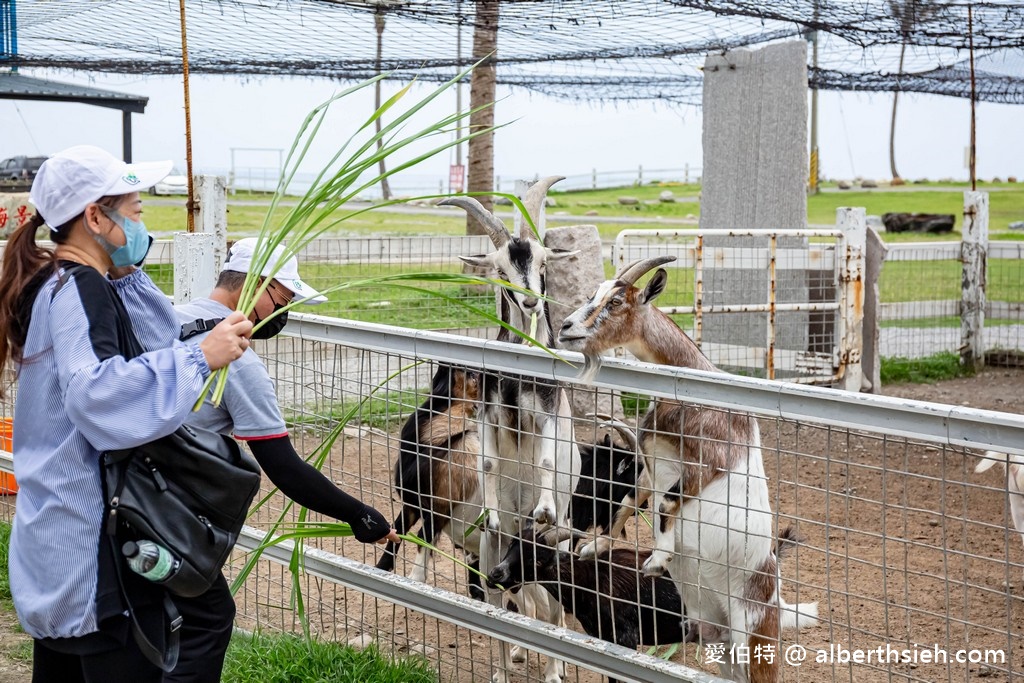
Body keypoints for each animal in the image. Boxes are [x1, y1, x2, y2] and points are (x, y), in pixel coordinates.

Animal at [440, 176, 585, 683]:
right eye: (501, 269)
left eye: (543, 262)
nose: (530, 301)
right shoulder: (490, 412)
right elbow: (485, 459)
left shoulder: (548, 412)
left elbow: (543, 457)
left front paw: (541, 506)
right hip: (492, 550)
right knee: (504, 600)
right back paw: (510, 663)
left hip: (554, 544)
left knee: (551, 607)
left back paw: (555, 667)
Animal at [557, 254, 819, 683]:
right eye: (594, 293)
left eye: (616, 301)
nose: (565, 328)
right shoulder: (648, 459)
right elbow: (634, 499)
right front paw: (596, 546)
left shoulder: (712, 457)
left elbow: (667, 504)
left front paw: (658, 559)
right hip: (719, 639)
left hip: (755, 633)